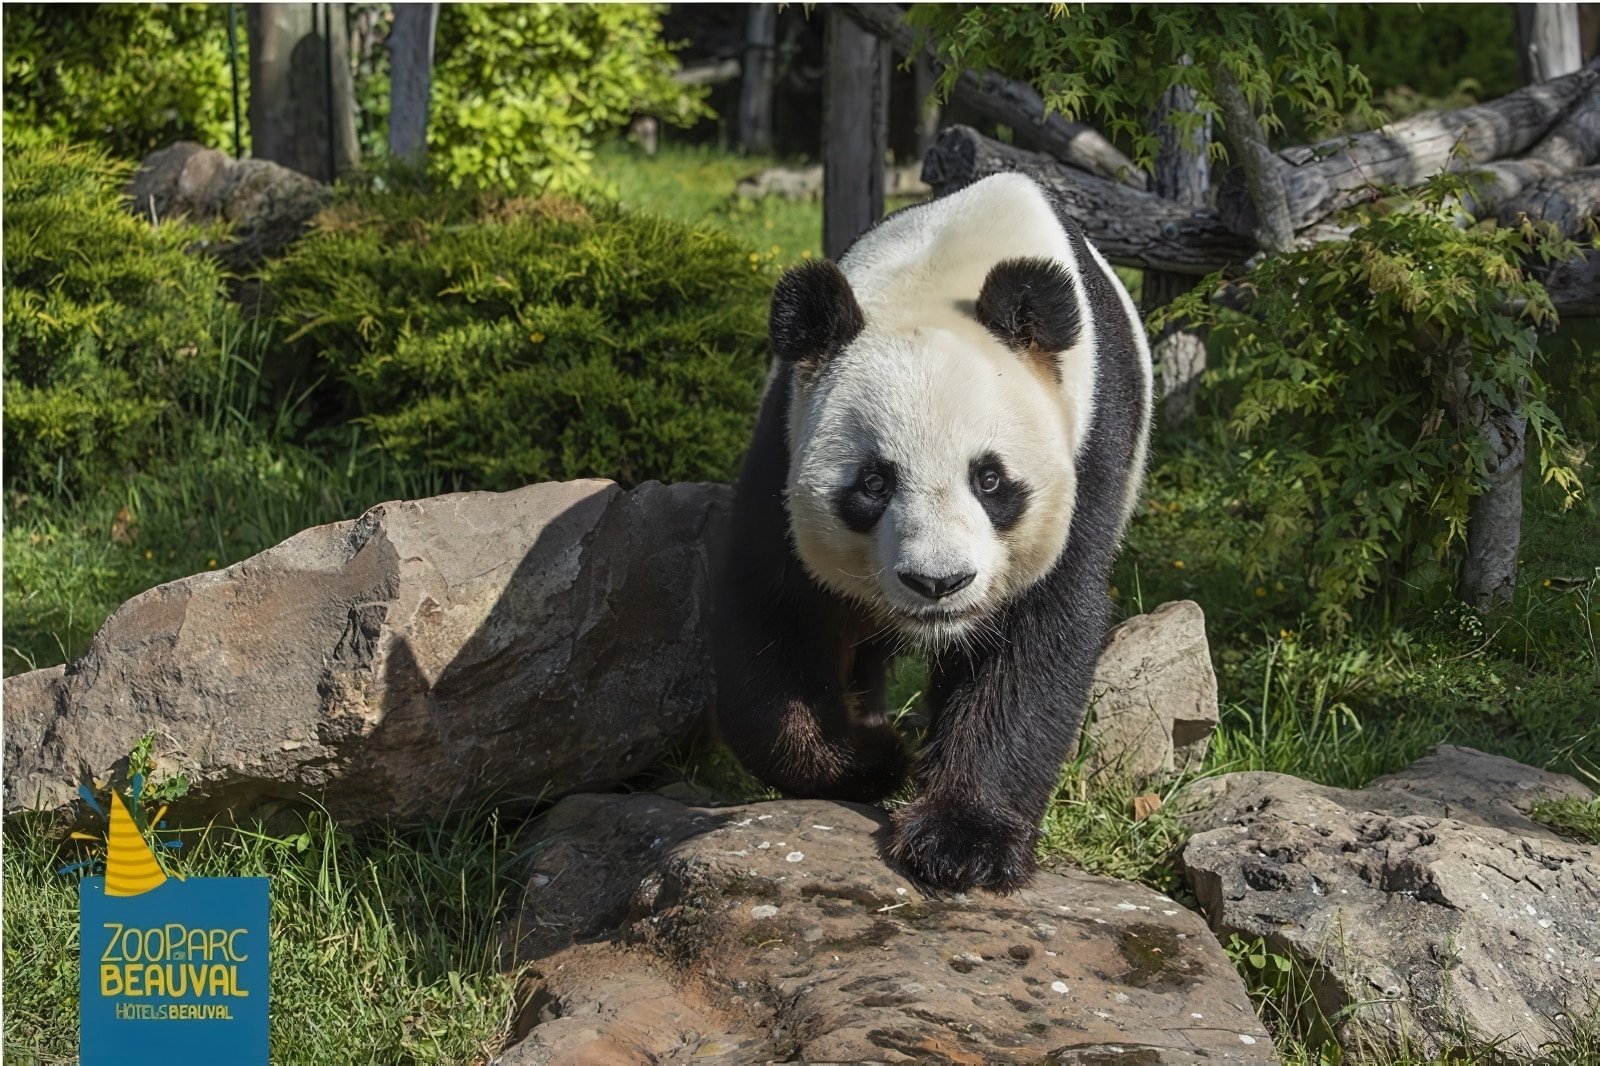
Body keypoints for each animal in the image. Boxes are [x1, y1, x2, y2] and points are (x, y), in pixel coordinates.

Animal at [713, 174, 1152, 889]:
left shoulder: (1087, 447)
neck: (943, 273)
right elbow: (774, 608)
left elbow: (1035, 635)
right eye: (873, 484)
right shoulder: (786, 430)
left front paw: (961, 841)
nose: (938, 583)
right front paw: (871, 757)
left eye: (990, 480)